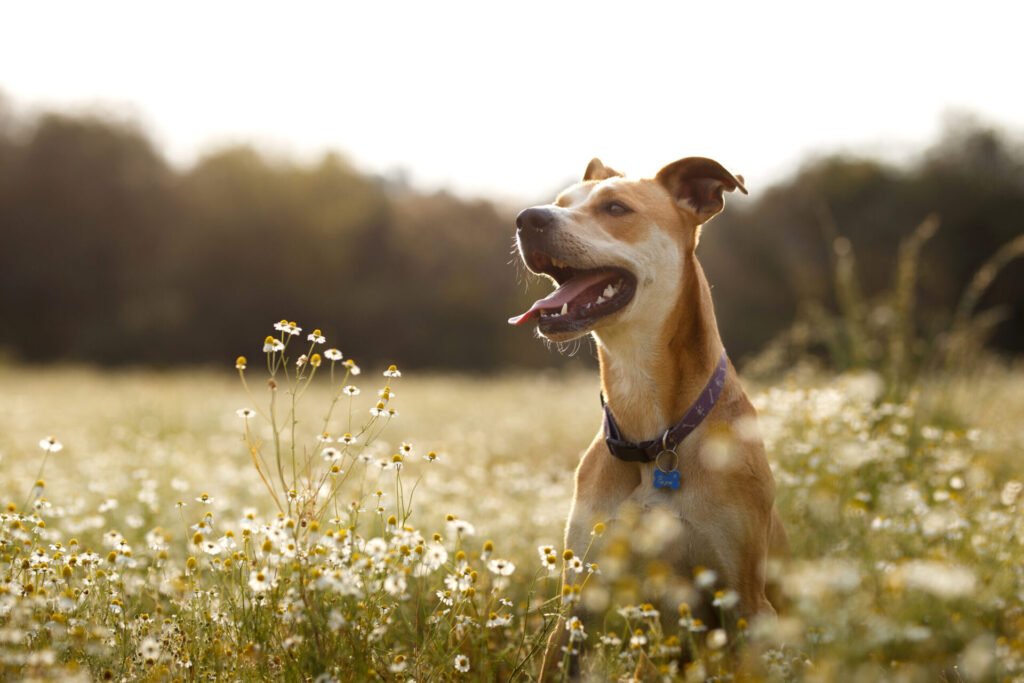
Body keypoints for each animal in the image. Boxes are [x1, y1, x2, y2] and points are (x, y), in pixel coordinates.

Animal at [507, 156, 786, 679]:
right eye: (559, 202)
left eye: (616, 208)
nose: (527, 219)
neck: (653, 436)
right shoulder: (579, 601)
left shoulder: (745, 600)